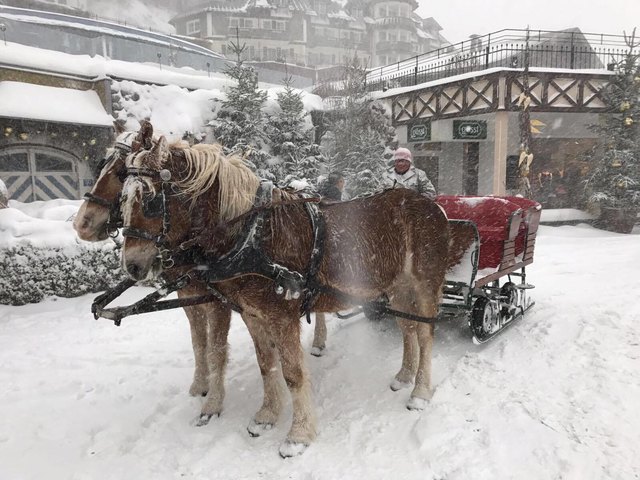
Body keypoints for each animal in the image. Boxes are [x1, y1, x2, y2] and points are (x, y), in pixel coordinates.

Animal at [117, 128, 448, 458]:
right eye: (123, 199)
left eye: (149, 200)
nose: (132, 265)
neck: (253, 235)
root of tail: (432, 207)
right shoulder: (252, 315)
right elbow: (267, 364)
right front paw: (267, 415)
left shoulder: (282, 317)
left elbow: (292, 373)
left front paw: (298, 435)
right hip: (399, 288)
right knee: (408, 329)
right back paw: (405, 375)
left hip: (424, 286)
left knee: (425, 334)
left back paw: (420, 392)